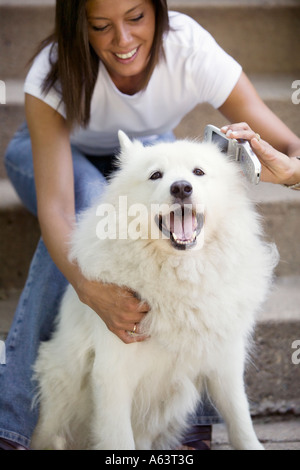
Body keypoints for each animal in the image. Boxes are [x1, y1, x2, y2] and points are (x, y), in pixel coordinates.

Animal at [31, 132, 278, 452]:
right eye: (156, 175)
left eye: (198, 172)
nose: (181, 188)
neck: (178, 275)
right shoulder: (113, 376)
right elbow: (119, 440)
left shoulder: (224, 365)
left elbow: (241, 424)